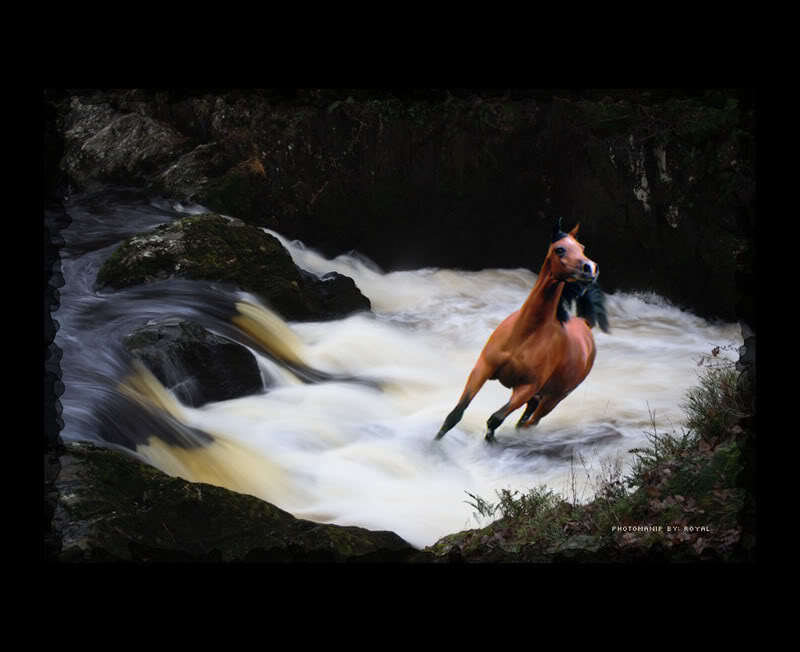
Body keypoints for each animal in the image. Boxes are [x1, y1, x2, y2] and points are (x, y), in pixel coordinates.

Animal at [434, 219, 609, 443]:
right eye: (560, 249)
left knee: (530, 422)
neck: (525, 335)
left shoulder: (526, 388)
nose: (590, 268)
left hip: (553, 398)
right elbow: (455, 414)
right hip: (539, 396)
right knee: (526, 419)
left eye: (581, 248)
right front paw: (434, 444)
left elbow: (494, 420)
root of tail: (585, 323)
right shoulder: (482, 368)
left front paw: (489, 442)